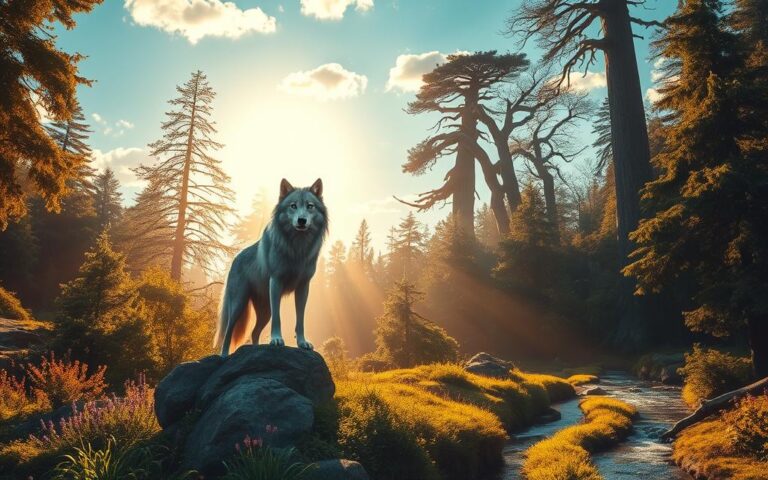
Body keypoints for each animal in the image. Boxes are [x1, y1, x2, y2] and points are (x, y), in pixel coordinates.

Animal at [215, 178, 327, 356]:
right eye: (293, 206)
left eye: (310, 206)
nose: (301, 220)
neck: (297, 249)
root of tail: (236, 258)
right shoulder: (276, 282)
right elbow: (278, 317)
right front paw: (276, 339)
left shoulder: (303, 287)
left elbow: (300, 319)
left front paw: (302, 342)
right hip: (238, 304)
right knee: (228, 332)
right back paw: (224, 355)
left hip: (264, 312)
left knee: (254, 332)